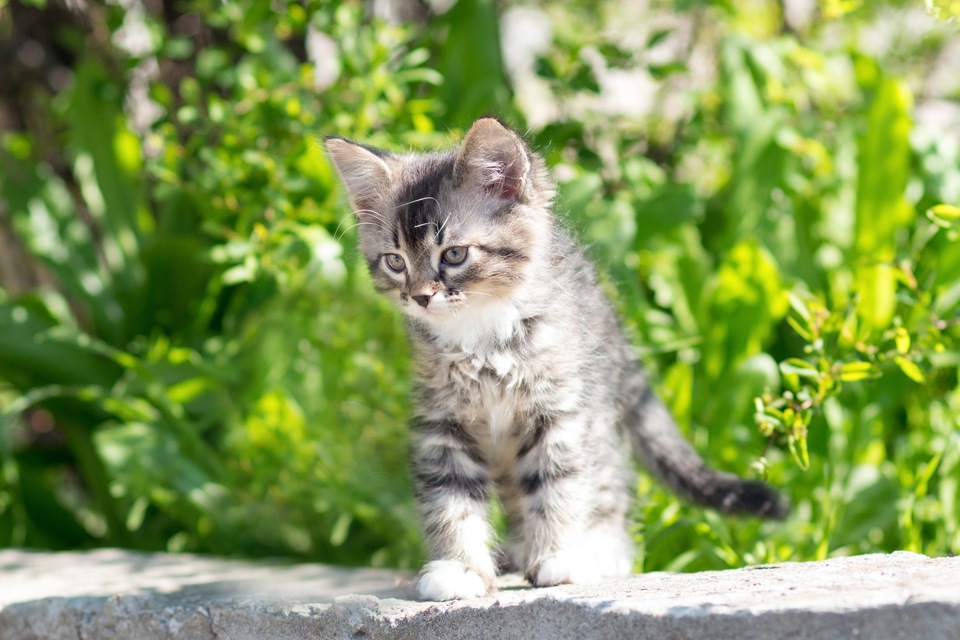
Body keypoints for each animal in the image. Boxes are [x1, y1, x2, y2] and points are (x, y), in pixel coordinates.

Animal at [324, 116, 788, 600]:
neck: (482, 338)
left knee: (610, 485)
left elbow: (558, 486)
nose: (419, 296)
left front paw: (559, 556)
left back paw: (599, 548)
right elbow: (451, 500)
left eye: (454, 254)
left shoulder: (559, 412)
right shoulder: (442, 424)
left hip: (598, 411)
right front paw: (460, 568)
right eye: (395, 262)